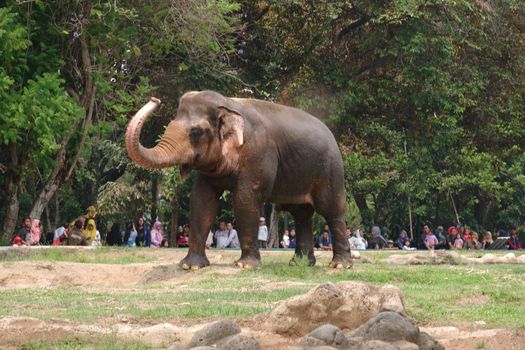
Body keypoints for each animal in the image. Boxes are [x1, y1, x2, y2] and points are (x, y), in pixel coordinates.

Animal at [125, 90, 350, 268]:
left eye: (196, 133)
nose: (155, 99)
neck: (228, 105)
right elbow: (202, 200)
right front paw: (190, 266)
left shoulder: (257, 153)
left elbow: (245, 200)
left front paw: (245, 266)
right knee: (301, 214)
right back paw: (299, 263)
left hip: (331, 169)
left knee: (331, 209)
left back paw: (339, 265)